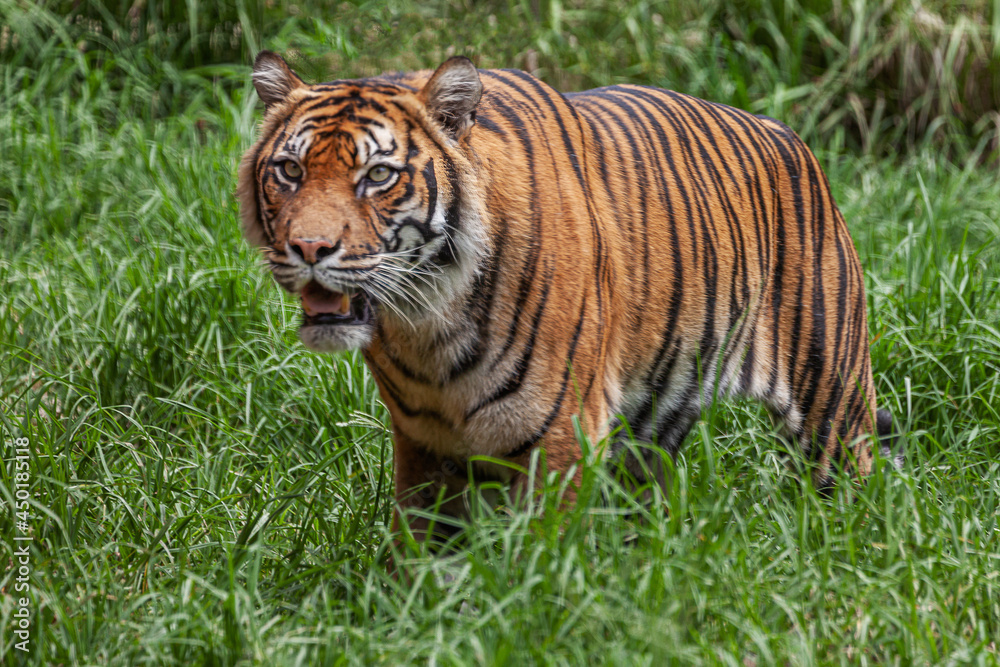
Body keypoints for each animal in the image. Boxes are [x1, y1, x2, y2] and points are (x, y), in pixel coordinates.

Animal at [238, 51, 899, 542]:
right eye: (290, 171)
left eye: (378, 175)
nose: (310, 247)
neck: (428, 319)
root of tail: (790, 136)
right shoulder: (423, 445)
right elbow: (419, 551)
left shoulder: (558, 434)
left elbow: (537, 561)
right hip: (656, 418)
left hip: (831, 406)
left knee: (853, 490)